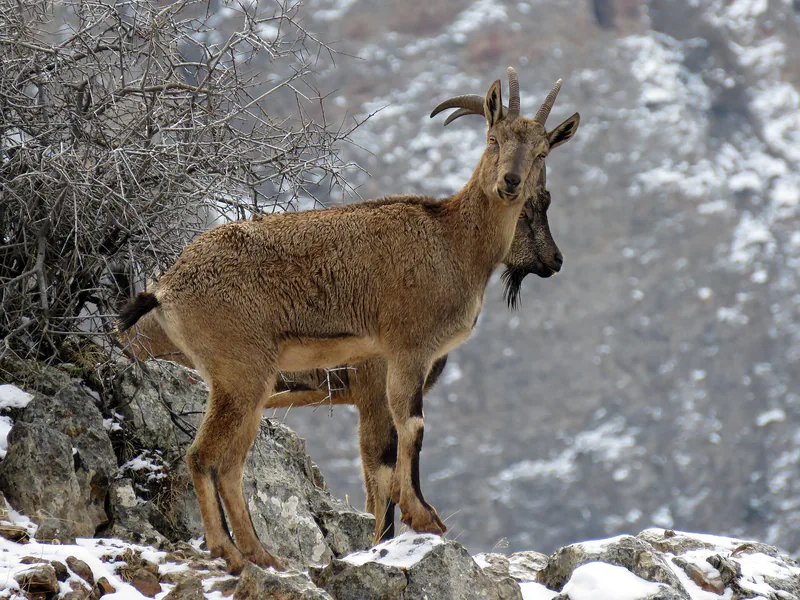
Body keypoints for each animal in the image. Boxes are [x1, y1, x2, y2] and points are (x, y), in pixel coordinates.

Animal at [118, 67, 579, 573]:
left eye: (541, 152)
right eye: (494, 138)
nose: (510, 183)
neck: (453, 241)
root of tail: (166, 286)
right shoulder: (403, 353)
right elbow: (407, 434)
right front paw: (425, 518)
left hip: (247, 386)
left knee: (231, 464)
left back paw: (262, 554)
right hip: (240, 373)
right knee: (203, 457)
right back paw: (230, 553)